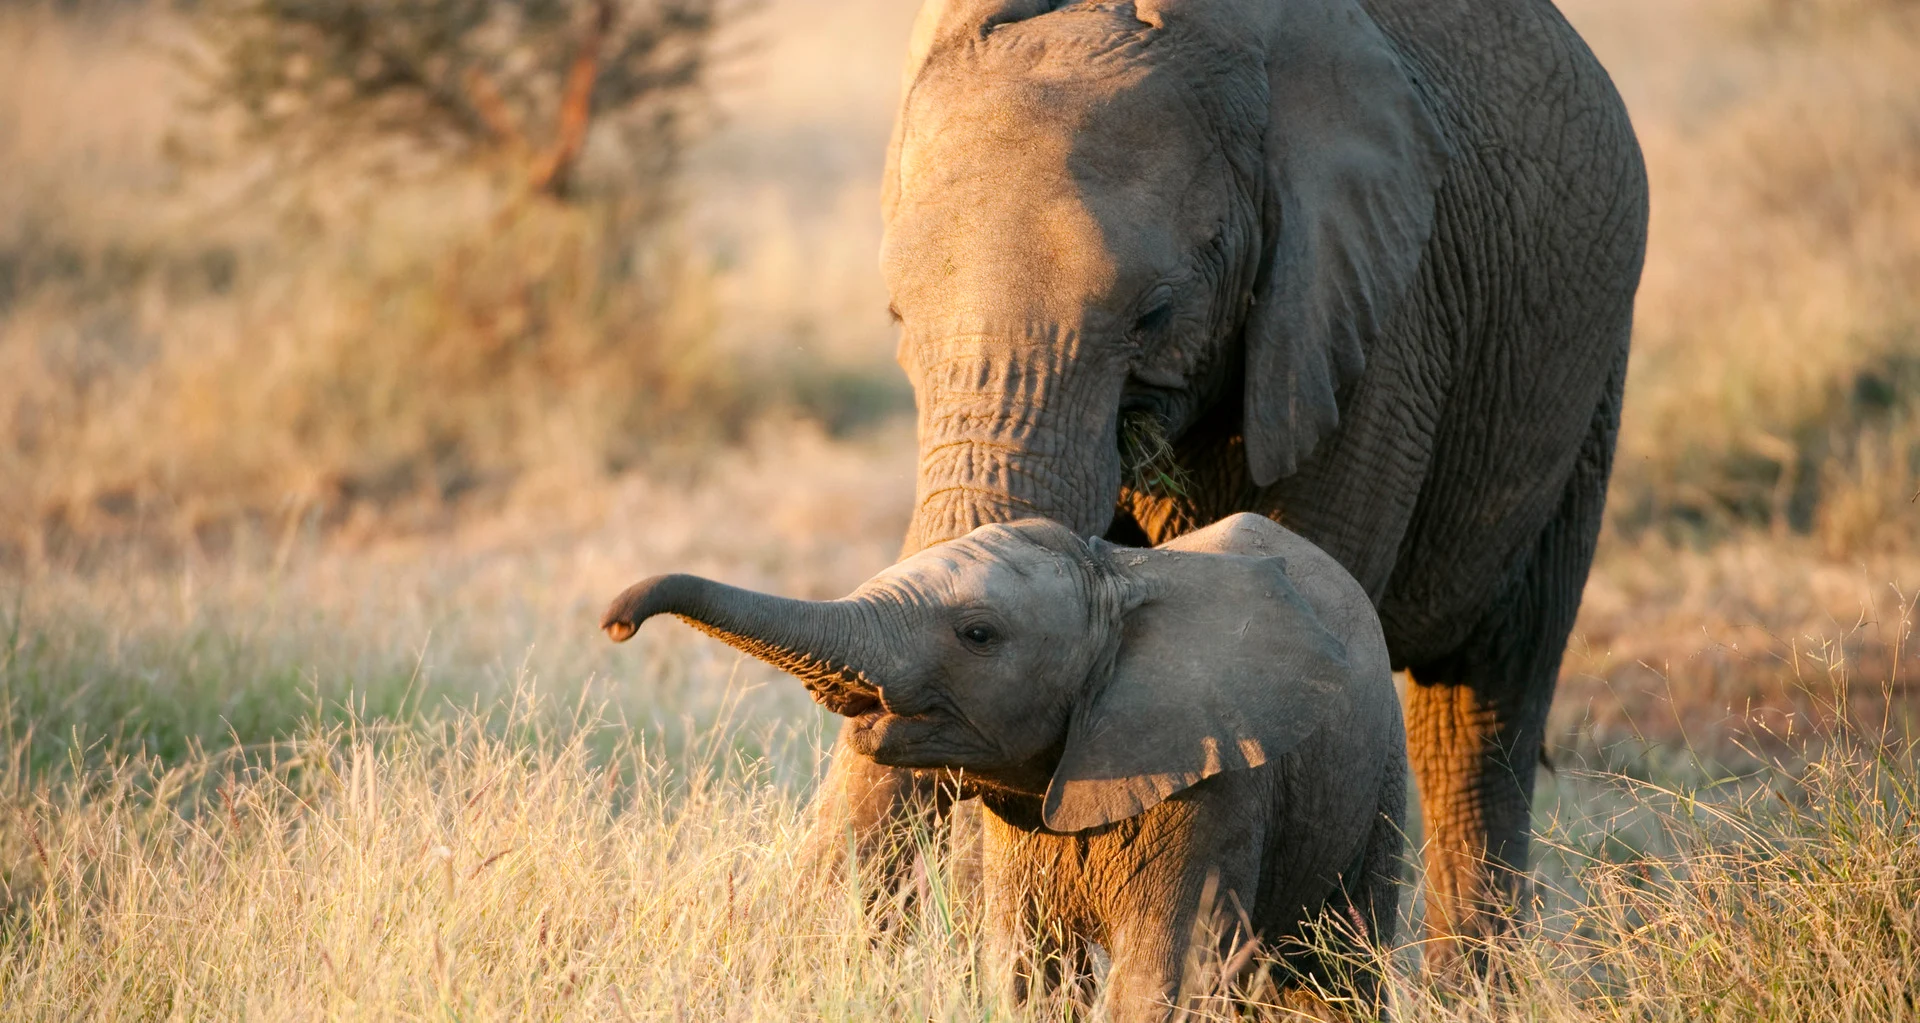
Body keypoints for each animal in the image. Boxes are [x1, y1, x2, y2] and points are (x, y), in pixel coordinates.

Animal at [606, 514, 1405, 1013]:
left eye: (978, 635)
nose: (617, 622)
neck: (1114, 574)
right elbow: (1029, 971)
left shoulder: (1217, 781)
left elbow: (1161, 976)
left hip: (1382, 776)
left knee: (1340, 972)